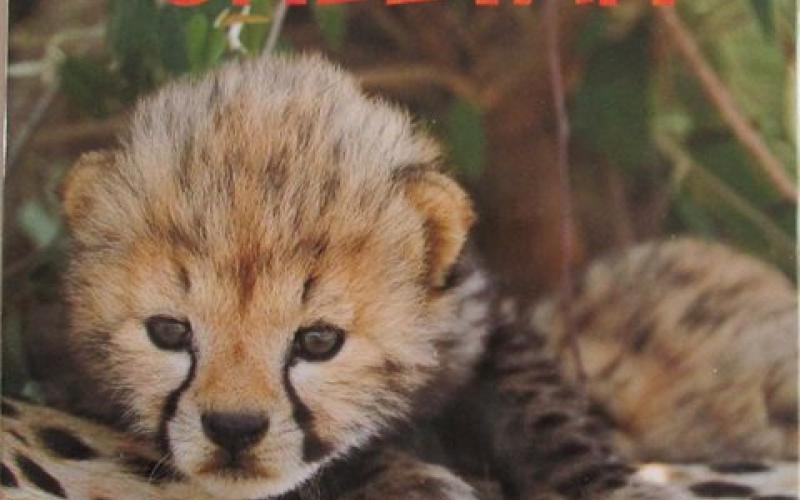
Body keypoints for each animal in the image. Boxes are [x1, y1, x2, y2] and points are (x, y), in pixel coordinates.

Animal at [1, 54, 797, 500]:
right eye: (169, 331)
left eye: (318, 342)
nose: (233, 429)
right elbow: (334, 463)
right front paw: (413, 479)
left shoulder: (478, 322)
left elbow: (548, 410)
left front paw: (609, 483)